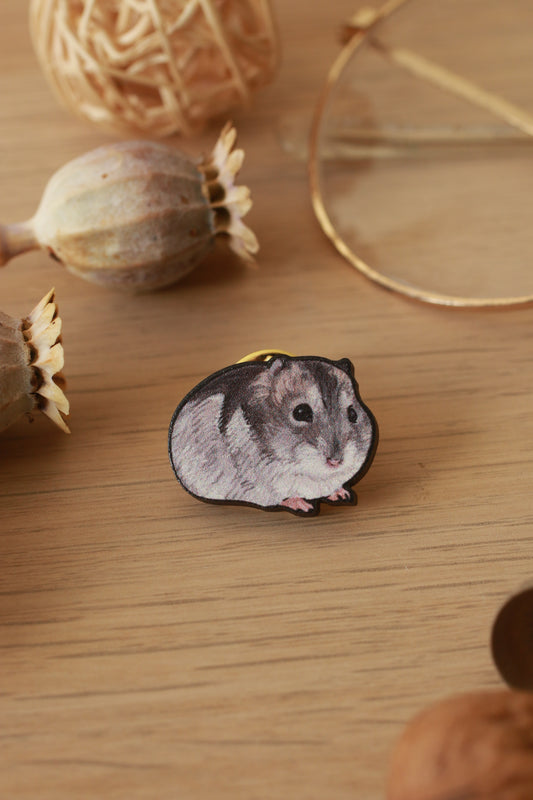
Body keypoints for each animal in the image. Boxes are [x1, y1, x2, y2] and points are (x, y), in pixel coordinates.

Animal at [168, 355, 378, 516]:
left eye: (353, 414)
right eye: (301, 412)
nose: (335, 461)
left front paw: (342, 494)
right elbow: (282, 496)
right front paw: (304, 506)